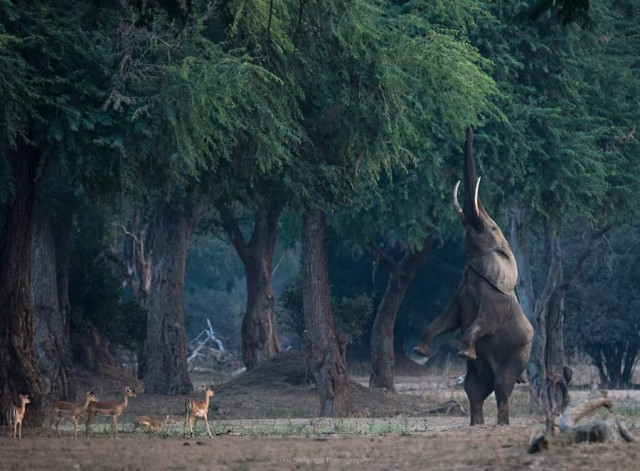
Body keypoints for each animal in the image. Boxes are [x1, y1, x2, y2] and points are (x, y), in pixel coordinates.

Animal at [412, 129, 532, 428]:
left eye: (491, 228)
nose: (468, 129)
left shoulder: (495, 302)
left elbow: (481, 323)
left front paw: (464, 353)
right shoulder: (460, 291)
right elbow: (445, 320)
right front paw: (421, 351)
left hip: (519, 354)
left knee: (502, 386)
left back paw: (501, 424)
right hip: (481, 375)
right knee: (475, 389)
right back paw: (476, 424)